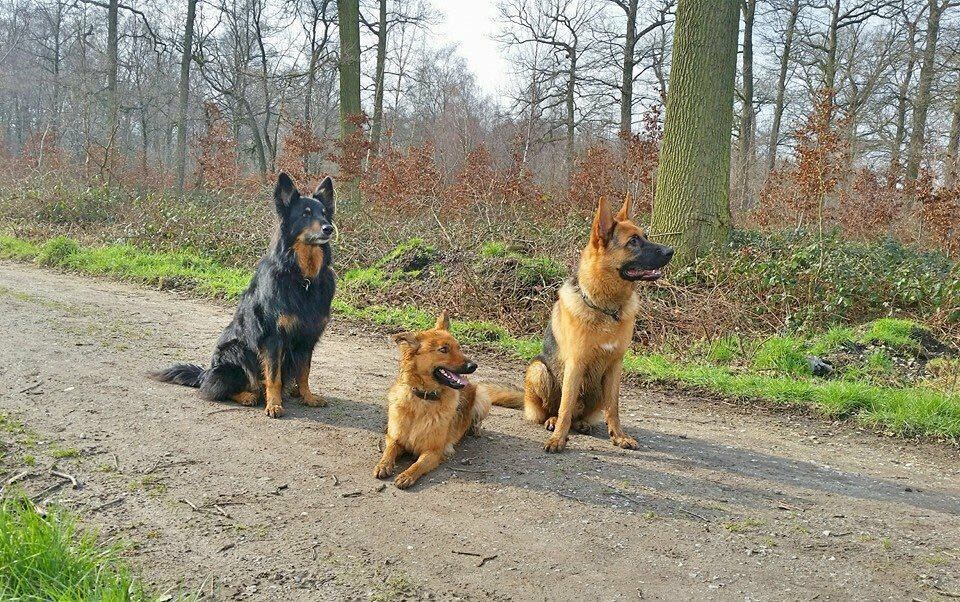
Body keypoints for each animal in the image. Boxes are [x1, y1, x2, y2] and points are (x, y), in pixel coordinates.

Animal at [153, 172, 338, 418]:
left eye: (324, 213)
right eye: (306, 214)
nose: (329, 228)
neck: (302, 277)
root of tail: (206, 372)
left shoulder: (307, 338)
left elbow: (304, 372)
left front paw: (307, 396)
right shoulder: (273, 338)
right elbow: (274, 377)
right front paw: (274, 404)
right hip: (235, 351)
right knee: (215, 388)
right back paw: (248, 396)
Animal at [376, 312, 520, 486]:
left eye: (459, 347)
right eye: (443, 349)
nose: (473, 365)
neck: (424, 399)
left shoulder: (433, 451)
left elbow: (418, 464)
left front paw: (407, 475)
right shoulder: (394, 438)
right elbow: (389, 450)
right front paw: (383, 465)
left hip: (482, 397)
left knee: (477, 420)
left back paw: (474, 429)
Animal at [492, 195, 672, 452]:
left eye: (644, 236)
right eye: (633, 241)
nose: (671, 251)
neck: (606, 309)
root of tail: (525, 401)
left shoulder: (615, 367)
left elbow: (614, 408)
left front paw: (619, 436)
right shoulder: (575, 365)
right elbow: (565, 406)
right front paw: (558, 438)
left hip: (597, 387)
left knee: (584, 414)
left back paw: (583, 424)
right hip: (539, 370)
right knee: (554, 409)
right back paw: (552, 420)